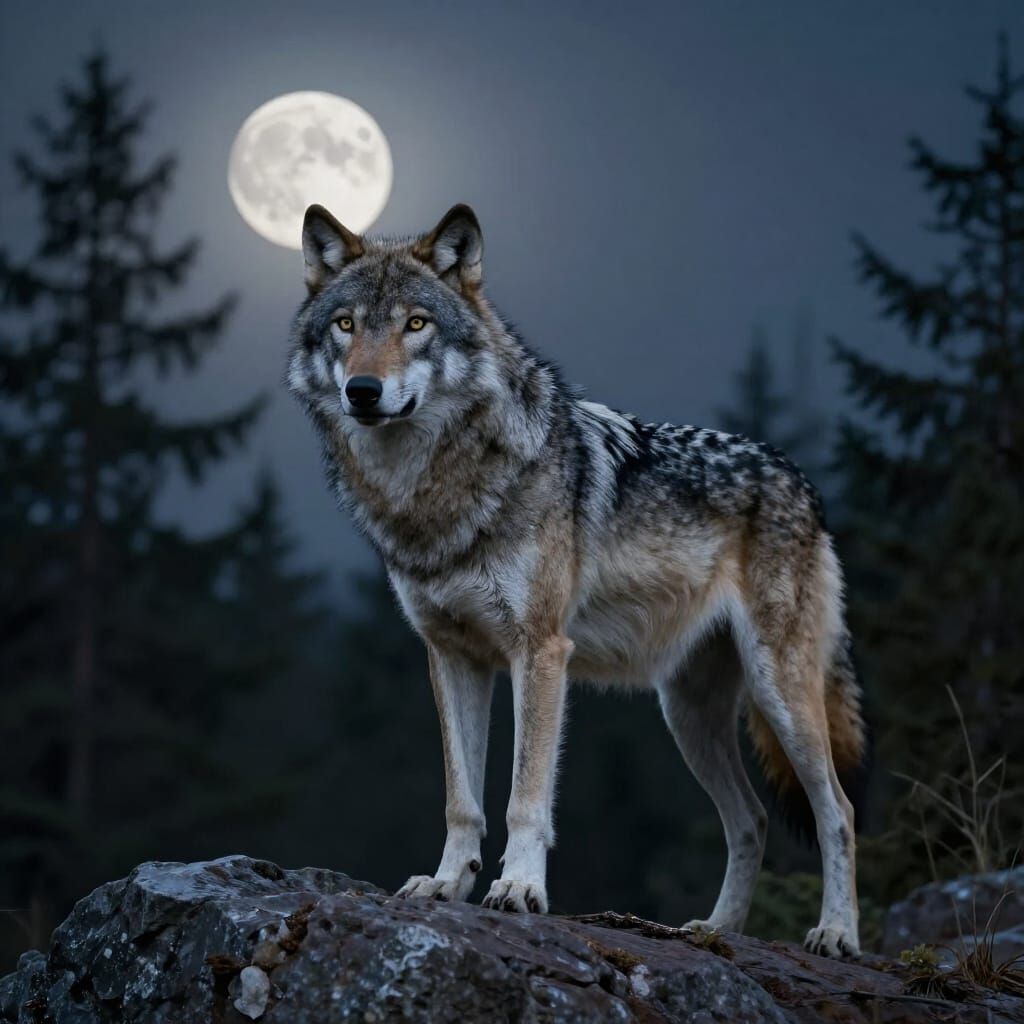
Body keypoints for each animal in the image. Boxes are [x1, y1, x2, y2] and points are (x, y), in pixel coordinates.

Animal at [287, 203, 866, 957]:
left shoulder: (540, 652)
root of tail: (801, 480)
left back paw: (836, 933)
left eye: (415, 324)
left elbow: (525, 796)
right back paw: (717, 930)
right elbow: (461, 799)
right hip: (686, 716)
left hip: (781, 693)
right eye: (346, 325)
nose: (363, 391)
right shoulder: (453, 656)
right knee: (751, 820)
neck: (437, 493)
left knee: (839, 812)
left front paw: (519, 890)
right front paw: (445, 884)